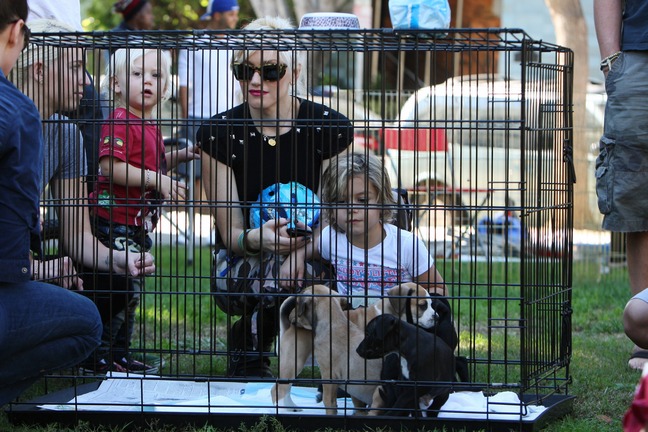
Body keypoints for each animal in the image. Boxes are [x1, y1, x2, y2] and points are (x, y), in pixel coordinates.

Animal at [270, 282, 438, 414]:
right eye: (422, 305)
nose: (436, 316)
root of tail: (289, 325)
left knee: (285, 387)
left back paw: (290, 407)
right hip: (294, 361)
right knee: (279, 389)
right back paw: (282, 411)